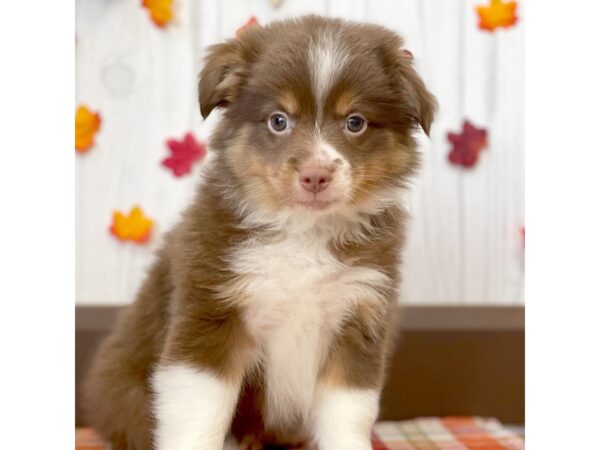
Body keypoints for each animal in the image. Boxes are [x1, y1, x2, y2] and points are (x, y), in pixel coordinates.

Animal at [83, 15, 436, 450]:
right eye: (278, 120)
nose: (315, 175)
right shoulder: (210, 313)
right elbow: (198, 413)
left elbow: (348, 413)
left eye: (355, 122)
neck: (302, 233)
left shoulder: (360, 316)